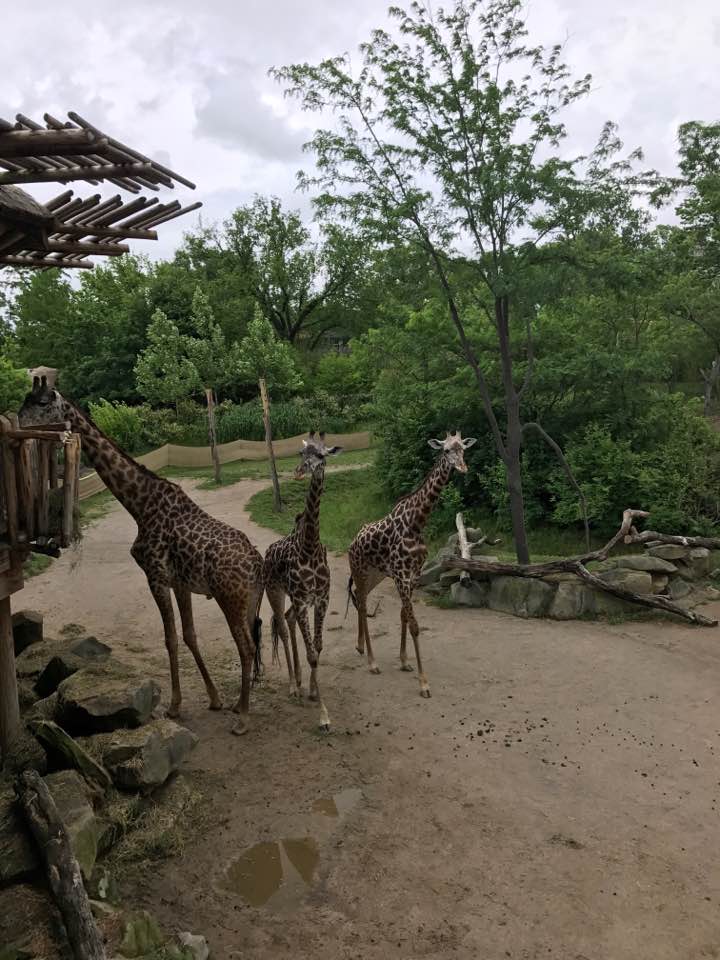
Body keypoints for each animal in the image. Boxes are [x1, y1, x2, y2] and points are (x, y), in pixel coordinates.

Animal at [19, 376, 264, 736]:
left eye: (41, 402)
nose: (18, 421)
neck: (139, 505)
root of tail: (258, 565)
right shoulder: (180, 582)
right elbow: (189, 635)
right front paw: (215, 698)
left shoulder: (155, 576)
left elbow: (170, 638)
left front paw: (175, 706)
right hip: (248, 601)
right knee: (254, 643)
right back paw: (238, 704)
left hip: (229, 598)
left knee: (245, 648)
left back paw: (244, 717)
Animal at [263, 431, 342, 731]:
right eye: (301, 454)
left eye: (321, 455)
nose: (298, 472)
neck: (309, 547)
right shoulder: (301, 597)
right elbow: (311, 653)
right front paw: (324, 716)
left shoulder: (321, 598)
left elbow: (317, 648)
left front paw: (314, 690)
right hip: (274, 591)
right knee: (283, 626)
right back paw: (292, 687)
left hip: (295, 601)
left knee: (289, 620)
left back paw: (298, 681)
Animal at [348, 430, 476, 698]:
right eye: (446, 450)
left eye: (463, 448)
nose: (462, 467)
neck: (416, 523)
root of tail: (352, 542)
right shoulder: (401, 575)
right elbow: (415, 624)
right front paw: (423, 683)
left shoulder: (413, 575)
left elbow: (404, 615)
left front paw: (405, 661)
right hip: (359, 569)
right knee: (362, 604)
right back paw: (372, 663)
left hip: (375, 574)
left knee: (359, 597)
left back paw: (360, 647)